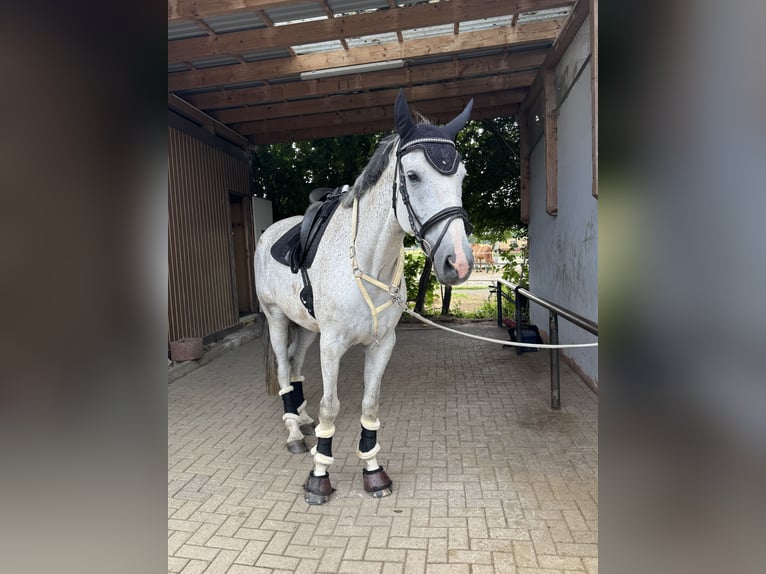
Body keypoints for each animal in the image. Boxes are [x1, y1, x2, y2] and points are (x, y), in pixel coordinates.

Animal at [254, 90, 475, 504]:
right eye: (412, 175)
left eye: (462, 177)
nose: (459, 262)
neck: (367, 261)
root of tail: (268, 234)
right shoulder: (332, 346)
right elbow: (331, 407)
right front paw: (319, 475)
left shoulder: (382, 344)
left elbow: (369, 404)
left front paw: (373, 470)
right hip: (277, 319)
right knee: (283, 368)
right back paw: (294, 432)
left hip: (305, 328)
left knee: (294, 363)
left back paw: (301, 419)